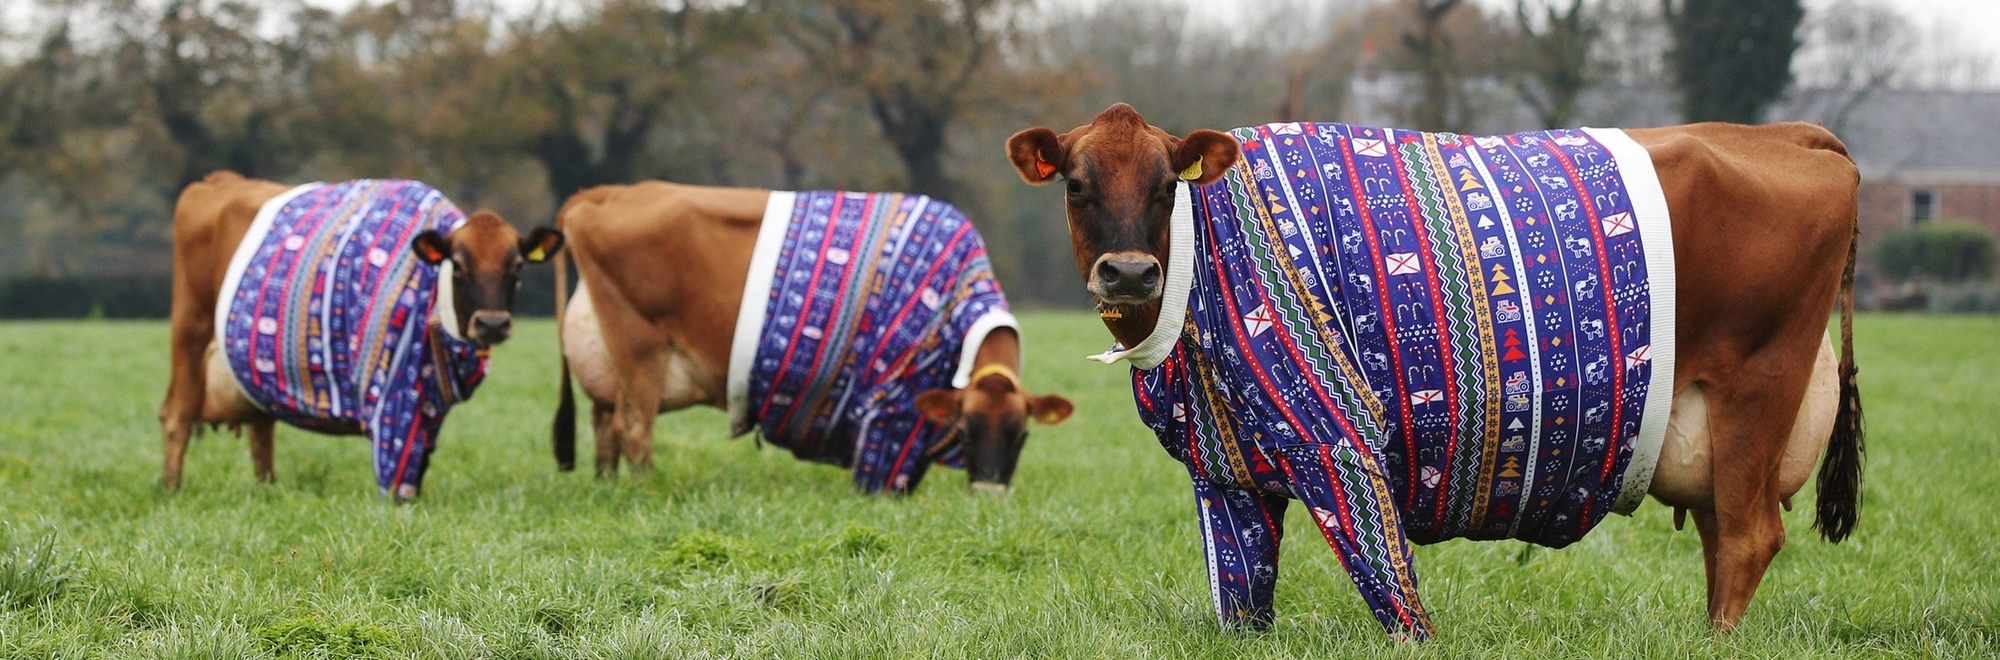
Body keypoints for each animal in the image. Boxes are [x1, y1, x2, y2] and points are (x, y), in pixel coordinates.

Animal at [154, 171, 564, 500]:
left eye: (518, 265)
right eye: (459, 265)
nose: (492, 323)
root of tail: (219, 179)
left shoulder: (430, 397)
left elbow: (420, 455)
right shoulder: (391, 388)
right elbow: (395, 460)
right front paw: (398, 504)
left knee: (261, 428)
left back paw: (267, 489)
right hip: (189, 327)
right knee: (177, 414)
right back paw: (173, 491)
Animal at [548, 183, 1080, 492]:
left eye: (1022, 435)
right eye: (966, 431)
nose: (988, 494)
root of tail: (603, 194)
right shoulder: (888, 406)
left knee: (604, 424)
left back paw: (607, 487)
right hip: (640, 347)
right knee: (634, 428)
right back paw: (643, 491)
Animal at [1008, 103, 1864, 640]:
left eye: (1166, 185)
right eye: (1076, 184)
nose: (1127, 273)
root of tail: (1794, 136)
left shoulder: (1340, 437)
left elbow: (1394, 588)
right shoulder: (1225, 473)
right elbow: (1242, 600)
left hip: (1757, 386)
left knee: (1749, 536)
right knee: (1724, 534)